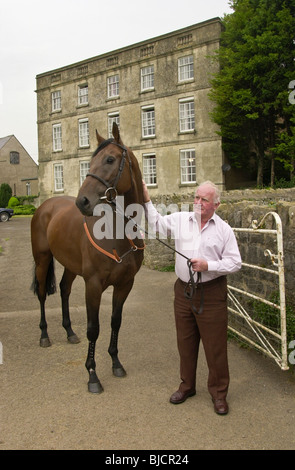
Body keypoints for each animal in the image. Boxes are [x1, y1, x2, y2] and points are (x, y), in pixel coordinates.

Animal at [30, 124, 145, 392]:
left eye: (110, 159)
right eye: (89, 162)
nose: (81, 202)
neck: (117, 234)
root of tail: (45, 206)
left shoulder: (125, 284)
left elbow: (115, 322)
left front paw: (116, 363)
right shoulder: (93, 285)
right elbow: (94, 329)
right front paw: (92, 374)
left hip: (71, 266)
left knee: (64, 289)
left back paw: (70, 331)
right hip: (42, 260)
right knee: (41, 294)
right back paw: (44, 335)